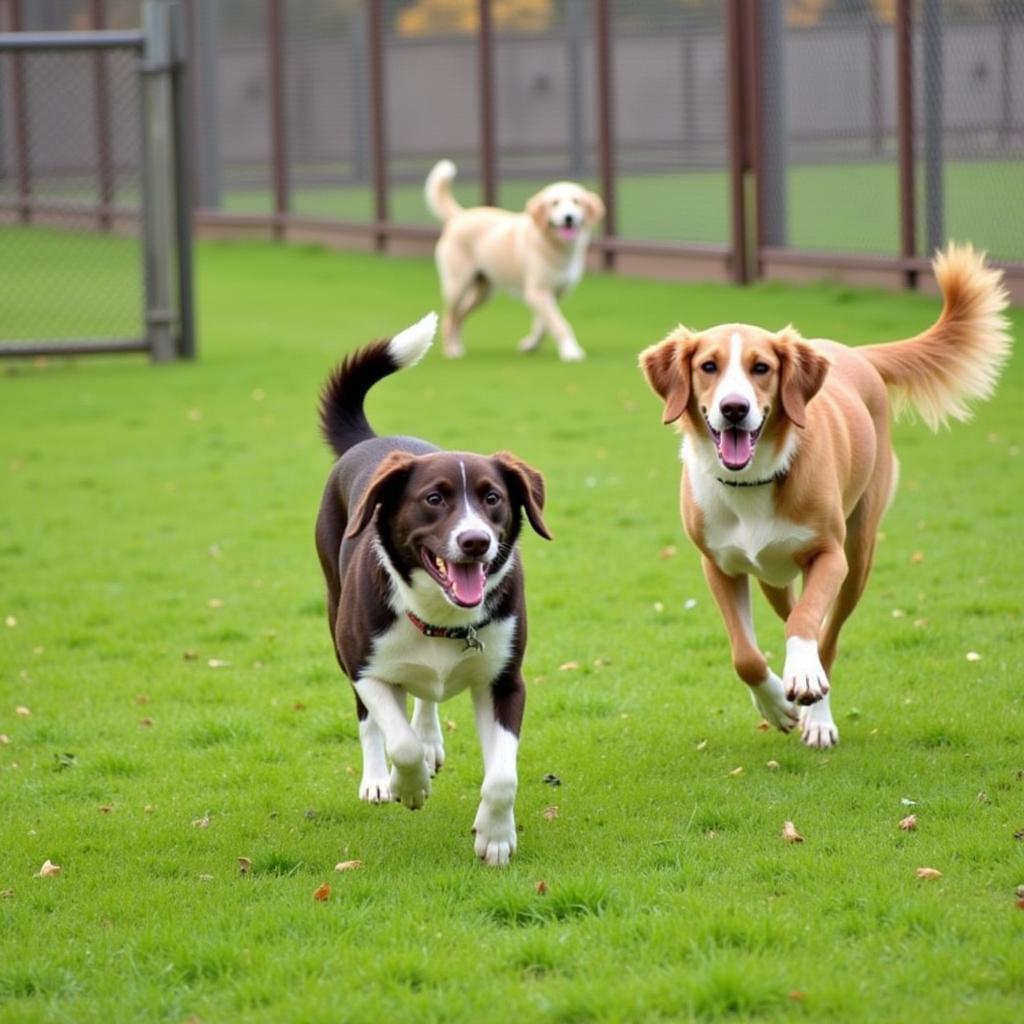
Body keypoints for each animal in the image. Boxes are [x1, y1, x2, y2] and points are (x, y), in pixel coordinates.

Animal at [315, 311, 552, 864]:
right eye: (434, 499)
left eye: (492, 498)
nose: (475, 541)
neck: (441, 618)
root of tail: (369, 441)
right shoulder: (364, 665)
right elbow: (396, 738)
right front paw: (410, 783)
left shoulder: (506, 680)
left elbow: (503, 777)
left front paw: (495, 836)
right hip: (337, 625)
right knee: (370, 719)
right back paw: (380, 779)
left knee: (425, 696)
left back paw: (430, 740)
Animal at [421, 159, 598, 364]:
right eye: (555, 203)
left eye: (577, 201)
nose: (569, 218)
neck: (554, 246)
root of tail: (461, 215)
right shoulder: (537, 292)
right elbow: (558, 323)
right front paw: (570, 350)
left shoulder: (555, 294)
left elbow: (543, 325)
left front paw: (531, 344)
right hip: (457, 287)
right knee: (450, 318)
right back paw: (451, 351)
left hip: (483, 292)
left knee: (460, 317)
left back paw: (457, 346)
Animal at [634, 243, 1011, 749]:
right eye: (708, 367)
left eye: (761, 368)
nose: (734, 409)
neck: (754, 482)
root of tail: (855, 354)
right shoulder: (719, 565)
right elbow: (746, 656)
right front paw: (776, 702)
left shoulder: (829, 554)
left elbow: (808, 622)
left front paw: (804, 689)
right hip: (772, 577)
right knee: (791, 613)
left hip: (859, 552)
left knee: (826, 635)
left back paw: (816, 710)